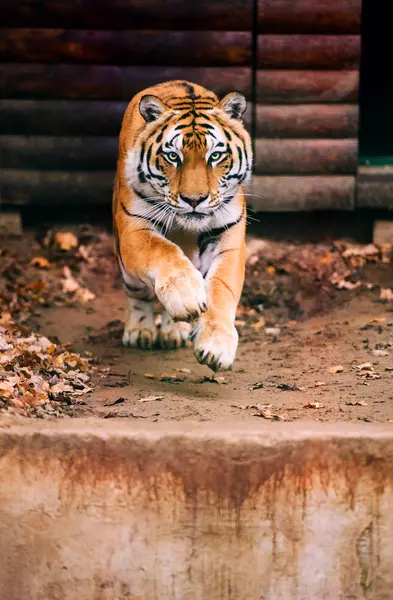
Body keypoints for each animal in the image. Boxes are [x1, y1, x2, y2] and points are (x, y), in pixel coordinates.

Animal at [112, 79, 251, 370]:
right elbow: (162, 252)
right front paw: (185, 296)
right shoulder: (134, 228)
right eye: (173, 157)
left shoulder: (228, 237)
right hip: (126, 266)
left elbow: (222, 287)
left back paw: (175, 331)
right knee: (138, 295)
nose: (194, 199)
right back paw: (140, 331)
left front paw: (216, 345)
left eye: (215, 156)